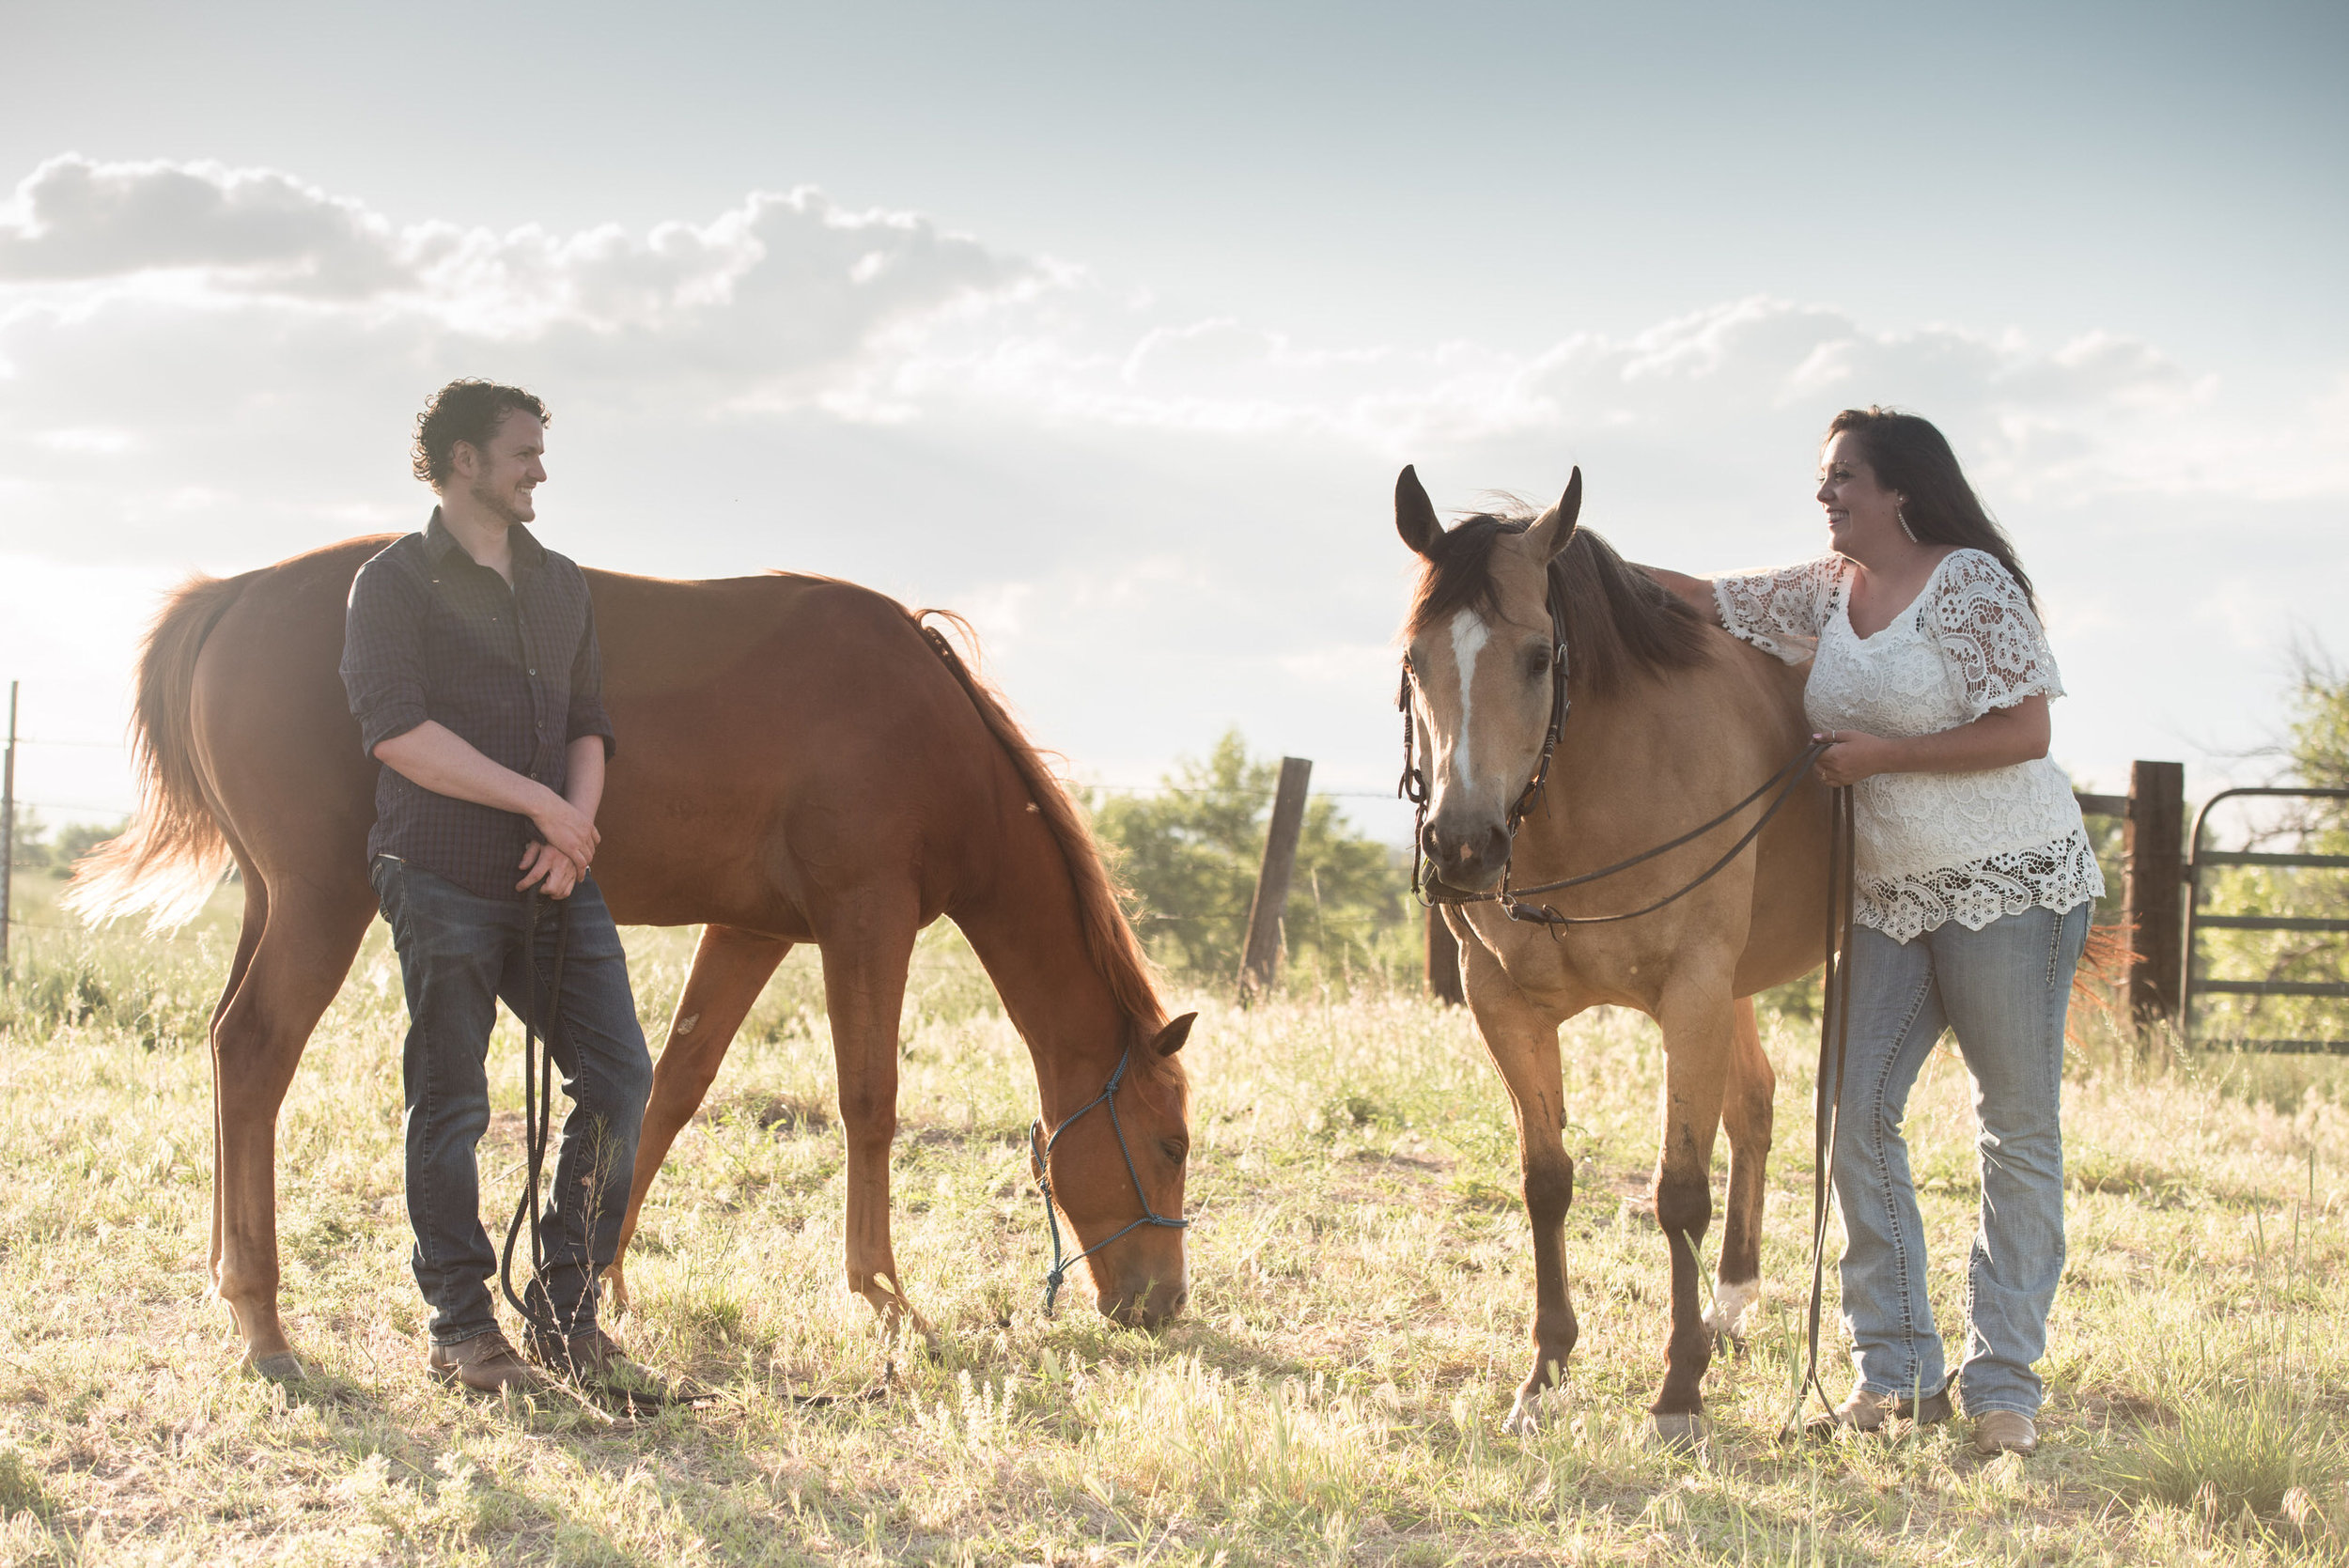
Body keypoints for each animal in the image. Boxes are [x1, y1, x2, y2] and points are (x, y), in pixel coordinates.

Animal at [64, 535, 1203, 1371]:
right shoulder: (863, 920)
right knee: (255, 1053)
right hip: (318, 906)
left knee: (224, 1050)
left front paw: (599, 1285)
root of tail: (231, 597)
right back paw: (262, 1319)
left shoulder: (753, 931)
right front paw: (883, 1296)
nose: (1162, 1305)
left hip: (270, 903)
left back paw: (227, 1278)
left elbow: (671, 1090)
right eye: (1171, 1144)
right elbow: (869, 1103)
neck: (924, 725)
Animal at [1391, 469, 1832, 1446]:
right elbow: (1546, 1179)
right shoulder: (1502, 1005)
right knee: (1754, 1105)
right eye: (1413, 660)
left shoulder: (1693, 995)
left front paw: (1677, 1393)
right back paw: (1730, 1304)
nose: (1462, 847)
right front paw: (1545, 1373)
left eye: (1537, 658)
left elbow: (1678, 1191)